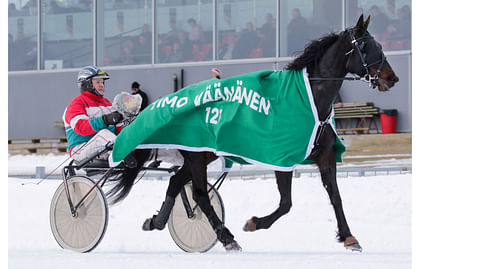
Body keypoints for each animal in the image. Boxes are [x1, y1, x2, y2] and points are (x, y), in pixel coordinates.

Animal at [107, 15, 400, 251]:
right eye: (366, 46)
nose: (392, 78)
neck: (311, 100)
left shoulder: (325, 156)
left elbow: (335, 196)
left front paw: (349, 237)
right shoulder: (281, 157)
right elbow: (286, 203)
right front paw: (254, 223)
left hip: (199, 155)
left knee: (176, 183)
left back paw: (156, 222)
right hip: (197, 154)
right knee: (199, 194)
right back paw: (226, 237)